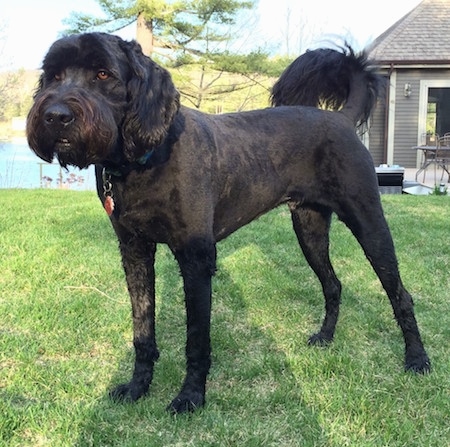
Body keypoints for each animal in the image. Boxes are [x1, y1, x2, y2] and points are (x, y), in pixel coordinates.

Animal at [26, 33, 430, 414]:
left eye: (103, 74)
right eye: (54, 75)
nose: (56, 115)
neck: (139, 161)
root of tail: (342, 118)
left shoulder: (196, 258)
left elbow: (196, 338)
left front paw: (190, 397)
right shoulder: (135, 251)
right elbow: (143, 328)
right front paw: (138, 386)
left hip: (370, 225)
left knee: (400, 294)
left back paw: (417, 358)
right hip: (309, 228)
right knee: (333, 284)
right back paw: (326, 337)